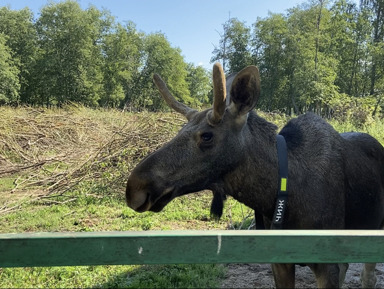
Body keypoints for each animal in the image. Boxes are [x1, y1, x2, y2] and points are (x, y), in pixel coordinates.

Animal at [126, 62, 384, 286]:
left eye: (207, 136)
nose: (134, 188)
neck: (279, 197)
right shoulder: (280, 261)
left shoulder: (326, 263)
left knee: (368, 277)